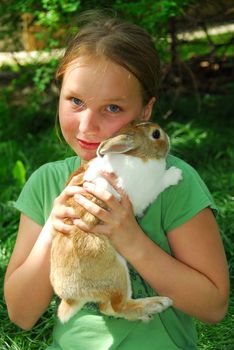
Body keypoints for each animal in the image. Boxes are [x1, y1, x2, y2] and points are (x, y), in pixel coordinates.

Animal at [50, 120, 183, 322]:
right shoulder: (148, 189)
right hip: (117, 271)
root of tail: (71, 298)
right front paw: (176, 174)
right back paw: (157, 304)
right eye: (156, 134)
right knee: (114, 307)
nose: (168, 138)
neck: (137, 155)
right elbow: (161, 183)